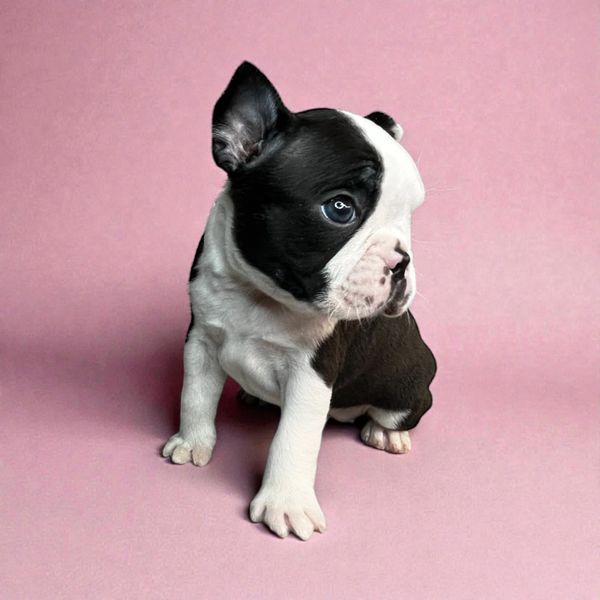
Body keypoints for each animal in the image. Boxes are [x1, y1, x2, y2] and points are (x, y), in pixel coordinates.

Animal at [162, 62, 436, 540]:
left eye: (409, 218)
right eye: (340, 209)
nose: (402, 259)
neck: (258, 294)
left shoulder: (312, 372)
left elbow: (294, 438)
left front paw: (285, 503)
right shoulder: (201, 340)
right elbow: (194, 395)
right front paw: (193, 443)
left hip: (409, 387)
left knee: (398, 412)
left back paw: (387, 433)